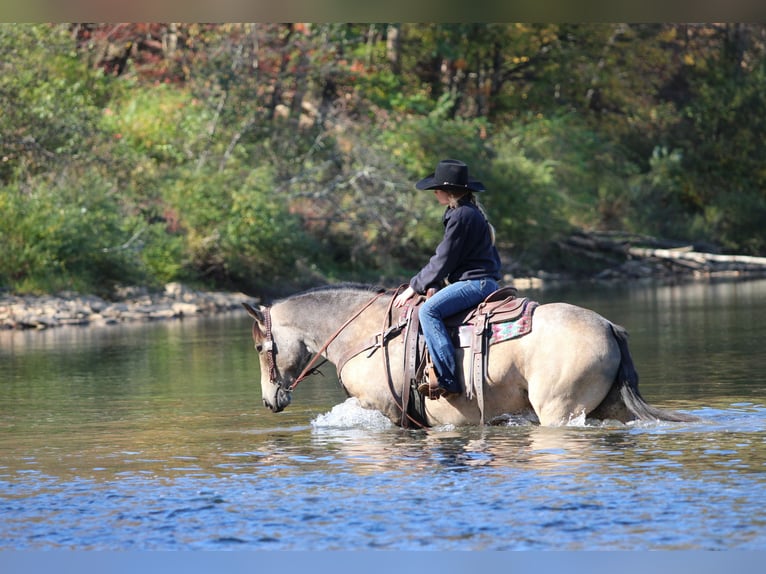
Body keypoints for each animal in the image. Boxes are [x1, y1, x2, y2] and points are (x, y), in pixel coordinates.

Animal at [243, 284, 696, 428]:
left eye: (261, 348)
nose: (269, 399)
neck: (366, 334)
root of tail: (608, 326)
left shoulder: (388, 410)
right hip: (609, 407)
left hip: (559, 409)